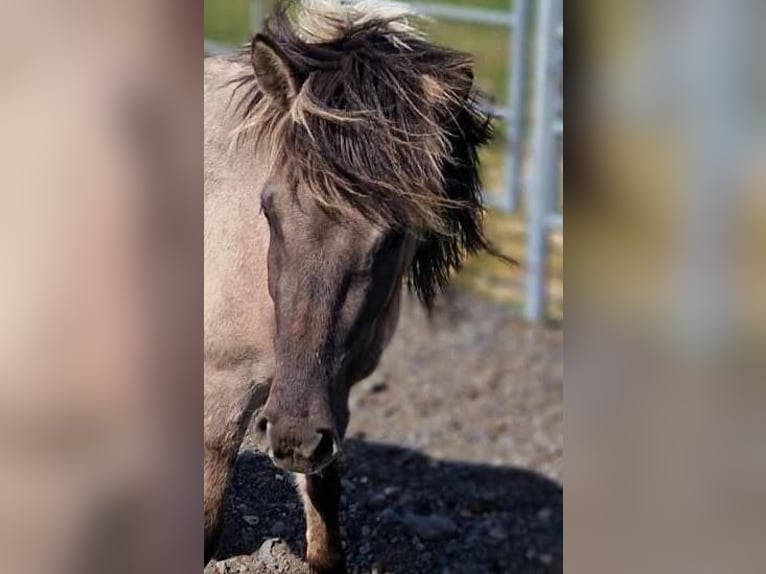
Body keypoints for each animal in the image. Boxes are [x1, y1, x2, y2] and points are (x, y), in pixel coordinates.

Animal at [201, 2, 496, 572]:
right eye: (269, 209)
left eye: (395, 233)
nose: (292, 437)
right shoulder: (221, 398)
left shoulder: (324, 403)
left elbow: (325, 524)